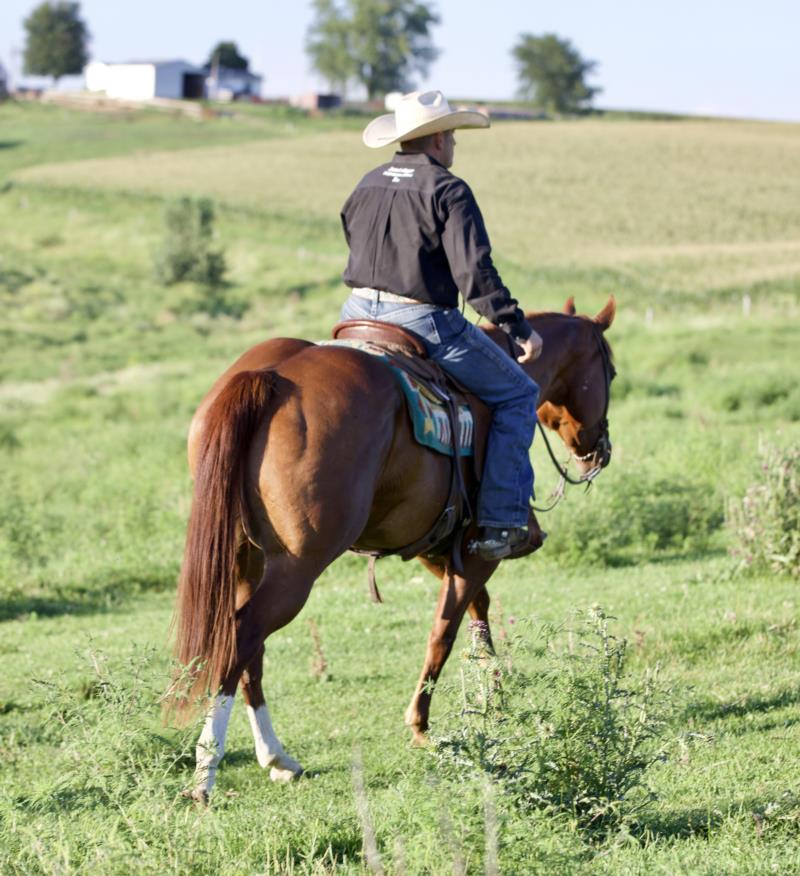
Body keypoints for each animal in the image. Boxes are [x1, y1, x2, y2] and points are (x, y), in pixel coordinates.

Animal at [171, 296, 616, 801]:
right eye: (610, 370)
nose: (599, 450)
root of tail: (270, 378)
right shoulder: (476, 550)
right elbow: (444, 630)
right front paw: (422, 723)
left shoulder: (435, 547)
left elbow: (474, 611)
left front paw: (492, 689)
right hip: (296, 567)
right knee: (245, 636)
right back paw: (207, 769)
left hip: (248, 558)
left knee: (248, 647)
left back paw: (276, 756)